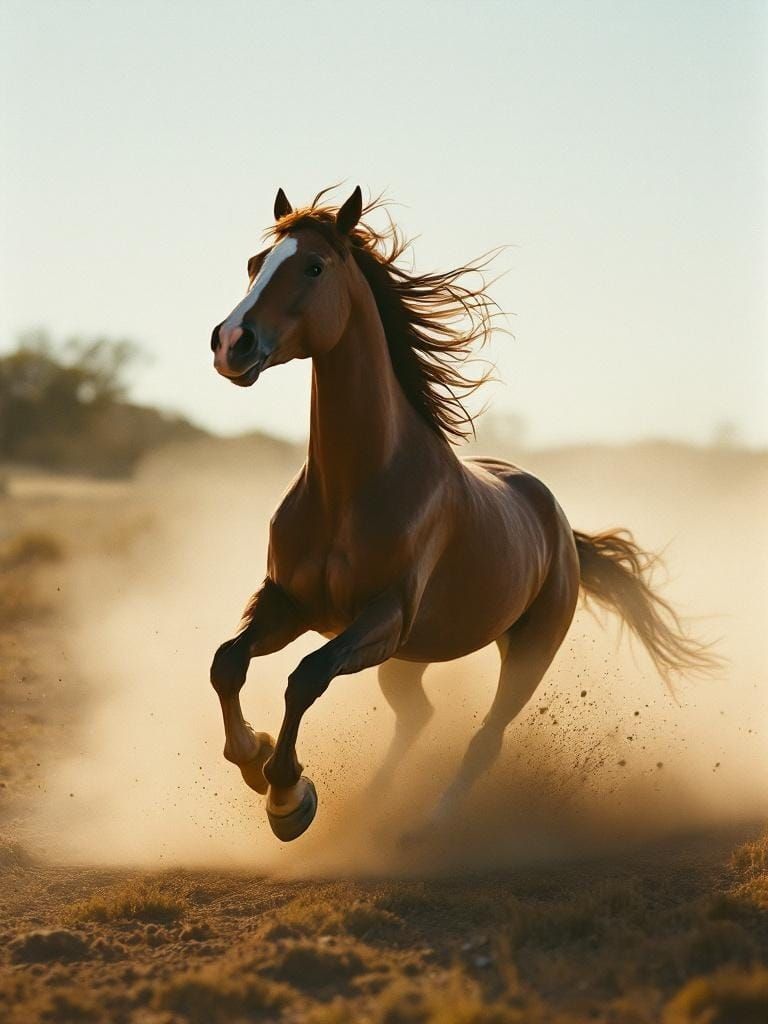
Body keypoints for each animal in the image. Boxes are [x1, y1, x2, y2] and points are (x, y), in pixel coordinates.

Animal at [209, 186, 715, 842]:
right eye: (254, 264)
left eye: (314, 267)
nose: (231, 342)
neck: (353, 487)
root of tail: (557, 521)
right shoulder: (290, 603)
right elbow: (227, 663)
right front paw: (254, 757)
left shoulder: (384, 617)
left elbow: (306, 678)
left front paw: (288, 796)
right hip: (413, 658)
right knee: (419, 717)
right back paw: (370, 807)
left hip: (527, 653)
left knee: (484, 740)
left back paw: (425, 827)